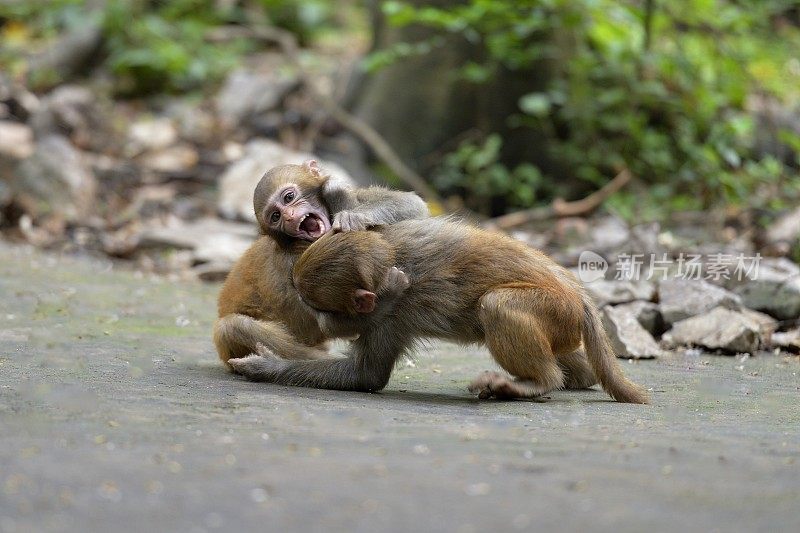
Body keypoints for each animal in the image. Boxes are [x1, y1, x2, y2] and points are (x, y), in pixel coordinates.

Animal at [209, 159, 428, 366]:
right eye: (276, 216)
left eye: (289, 197)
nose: (289, 217)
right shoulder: (295, 265)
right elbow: (330, 323)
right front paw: (390, 292)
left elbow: (413, 204)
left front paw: (346, 206)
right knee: (234, 327)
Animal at [227, 217, 648, 404]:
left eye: (316, 307)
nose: (319, 324)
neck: (392, 260)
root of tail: (577, 294)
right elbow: (365, 374)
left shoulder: (396, 314)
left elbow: (367, 376)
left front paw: (263, 366)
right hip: (563, 323)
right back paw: (576, 377)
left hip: (554, 309)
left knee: (496, 305)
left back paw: (537, 383)